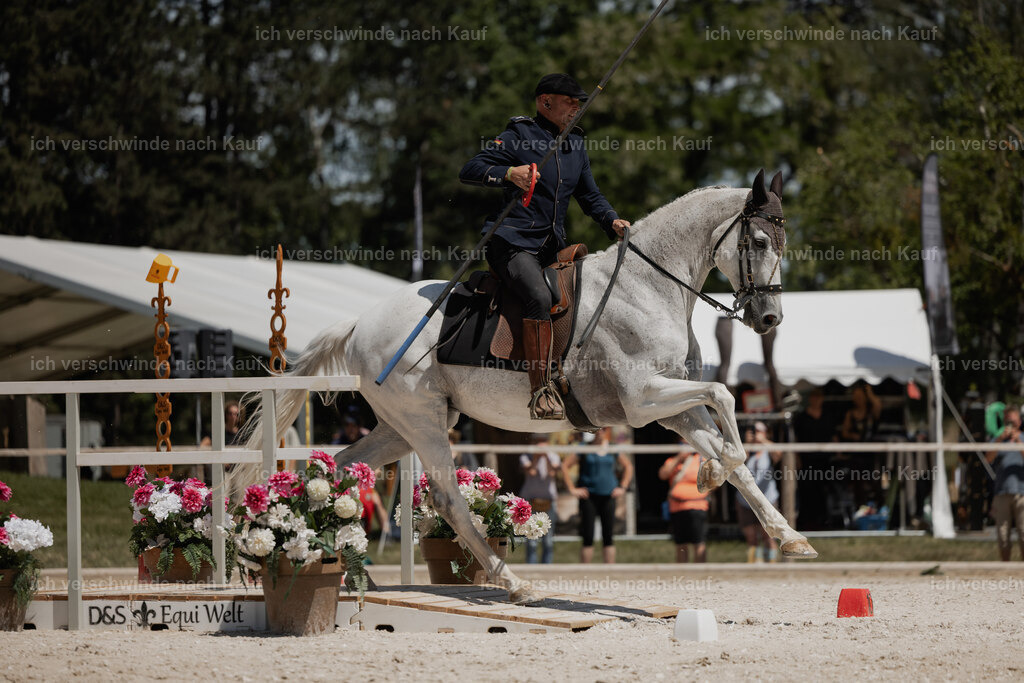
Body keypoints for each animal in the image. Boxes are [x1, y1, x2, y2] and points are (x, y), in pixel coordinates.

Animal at [232, 169, 817, 603]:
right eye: (759, 240)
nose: (769, 319)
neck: (648, 287)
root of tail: (359, 321)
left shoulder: (670, 406)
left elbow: (733, 450)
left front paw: (785, 534)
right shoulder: (643, 399)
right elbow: (724, 399)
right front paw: (711, 472)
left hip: (402, 426)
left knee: (339, 468)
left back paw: (356, 571)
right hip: (423, 423)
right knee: (447, 497)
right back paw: (510, 581)